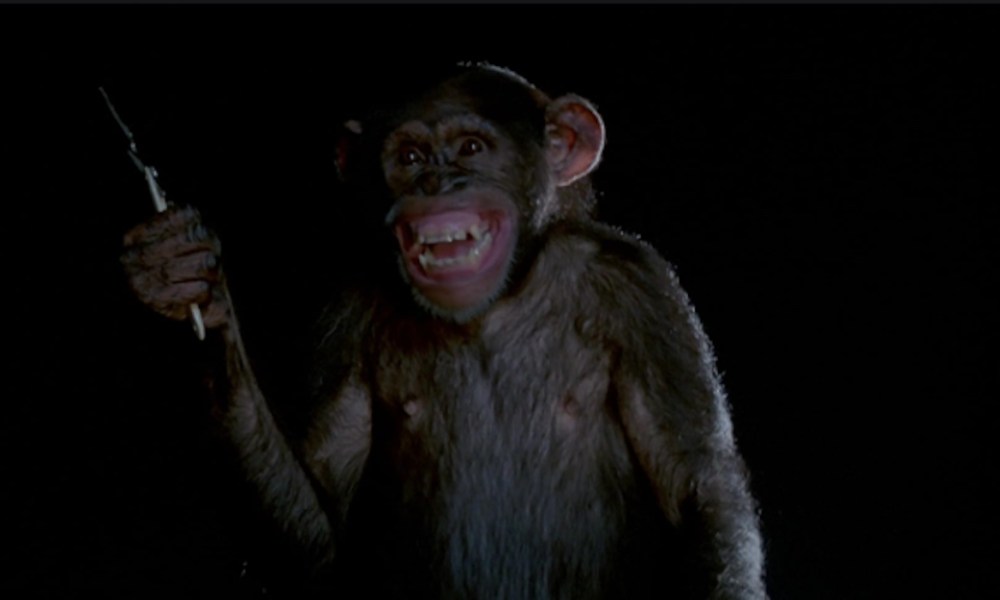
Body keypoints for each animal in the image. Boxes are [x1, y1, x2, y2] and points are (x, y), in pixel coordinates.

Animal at [121, 64, 766, 599]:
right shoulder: (341, 319)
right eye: (408, 157)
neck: (498, 298)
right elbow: (318, 532)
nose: (434, 184)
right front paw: (184, 281)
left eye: (471, 148)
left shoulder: (643, 292)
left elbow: (697, 486)